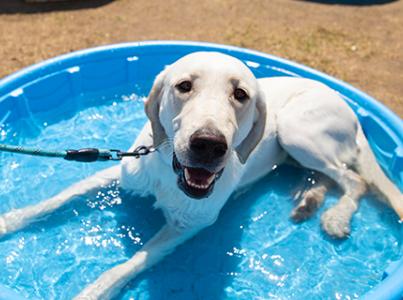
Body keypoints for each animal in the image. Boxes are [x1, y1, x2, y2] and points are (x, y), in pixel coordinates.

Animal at [0, 51, 403, 298]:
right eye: (184, 86)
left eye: (240, 94)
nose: (209, 145)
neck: (167, 171)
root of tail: (351, 109)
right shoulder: (119, 172)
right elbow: (57, 199)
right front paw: (9, 221)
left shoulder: (188, 224)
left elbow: (127, 265)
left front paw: (93, 291)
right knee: (329, 176)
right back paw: (310, 199)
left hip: (297, 130)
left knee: (354, 180)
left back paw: (336, 216)